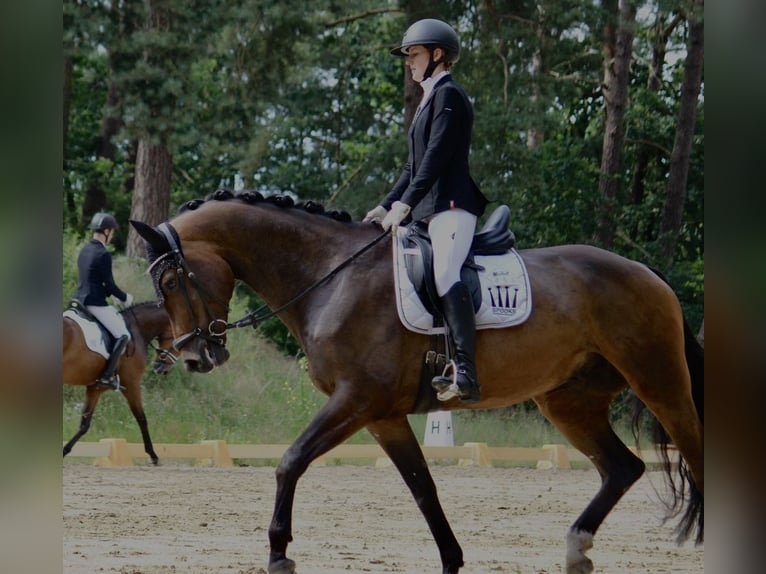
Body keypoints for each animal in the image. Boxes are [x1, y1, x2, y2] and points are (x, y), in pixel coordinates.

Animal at [63, 302, 178, 468]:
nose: (160, 368)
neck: (137, 330)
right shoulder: (131, 384)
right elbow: (141, 418)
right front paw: (153, 456)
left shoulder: (95, 388)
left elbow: (84, 424)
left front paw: (64, 450)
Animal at [130, 192, 704, 574]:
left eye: (172, 280)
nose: (194, 357)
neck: (330, 277)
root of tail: (647, 273)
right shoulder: (382, 415)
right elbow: (423, 487)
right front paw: (452, 560)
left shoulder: (356, 400)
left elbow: (290, 460)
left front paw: (278, 552)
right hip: (569, 401)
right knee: (622, 466)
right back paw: (576, 549)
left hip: (659, 381)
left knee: (691, 452)